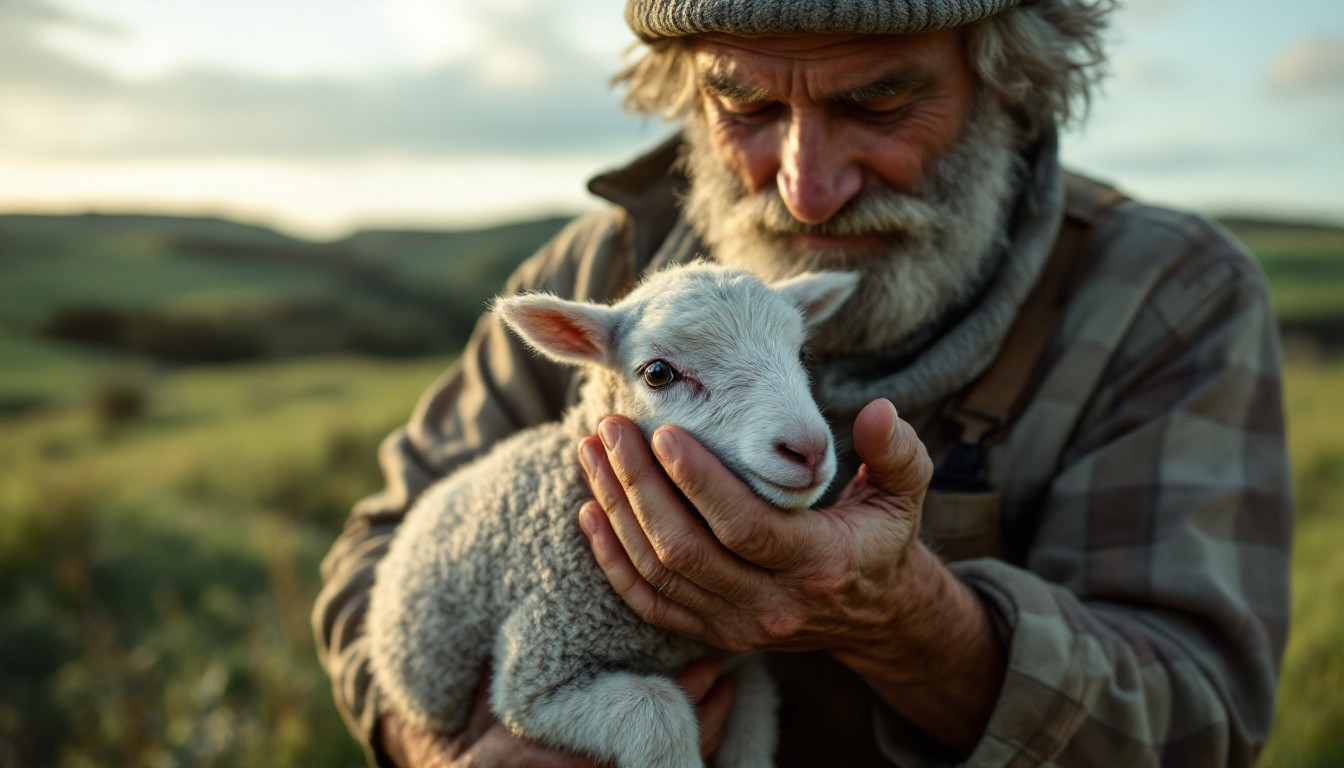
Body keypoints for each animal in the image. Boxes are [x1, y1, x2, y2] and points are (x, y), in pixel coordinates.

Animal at [368, 262, 859, 768]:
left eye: (803, 353)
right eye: (658, 373)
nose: (808, 450)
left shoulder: (742, 672)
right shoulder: (539, 672)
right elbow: (658, 710)